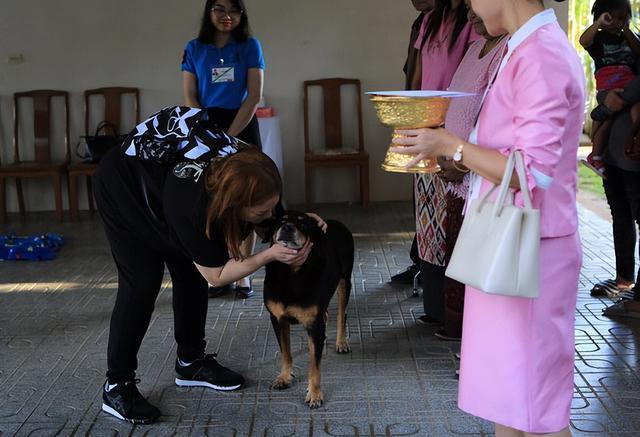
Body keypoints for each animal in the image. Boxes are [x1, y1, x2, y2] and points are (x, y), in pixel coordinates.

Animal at [264, 209, 356, 408]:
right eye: (281, 220)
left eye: (303, 223)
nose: (287, 227)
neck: (291, 274)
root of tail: (337, 223)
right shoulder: (278, 319)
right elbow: (285, 352)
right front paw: (284, 377)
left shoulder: (314, 322)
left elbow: (315, 366)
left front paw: (314, 394)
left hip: (345, 280)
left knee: (341, 315)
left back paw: (341, 342)